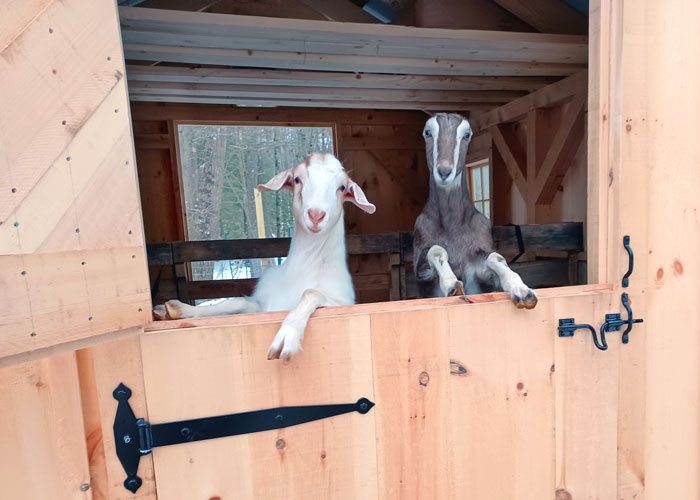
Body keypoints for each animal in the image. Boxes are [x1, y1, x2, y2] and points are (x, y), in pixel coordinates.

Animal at [160, 152, 378, 360]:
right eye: (297, 179)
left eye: (342, 187)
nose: (316, 215)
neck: (301, 272)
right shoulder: (261, 306)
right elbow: (238, 301)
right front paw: (181, 310)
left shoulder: (341, 303)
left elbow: (311, 292)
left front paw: (287, 337)